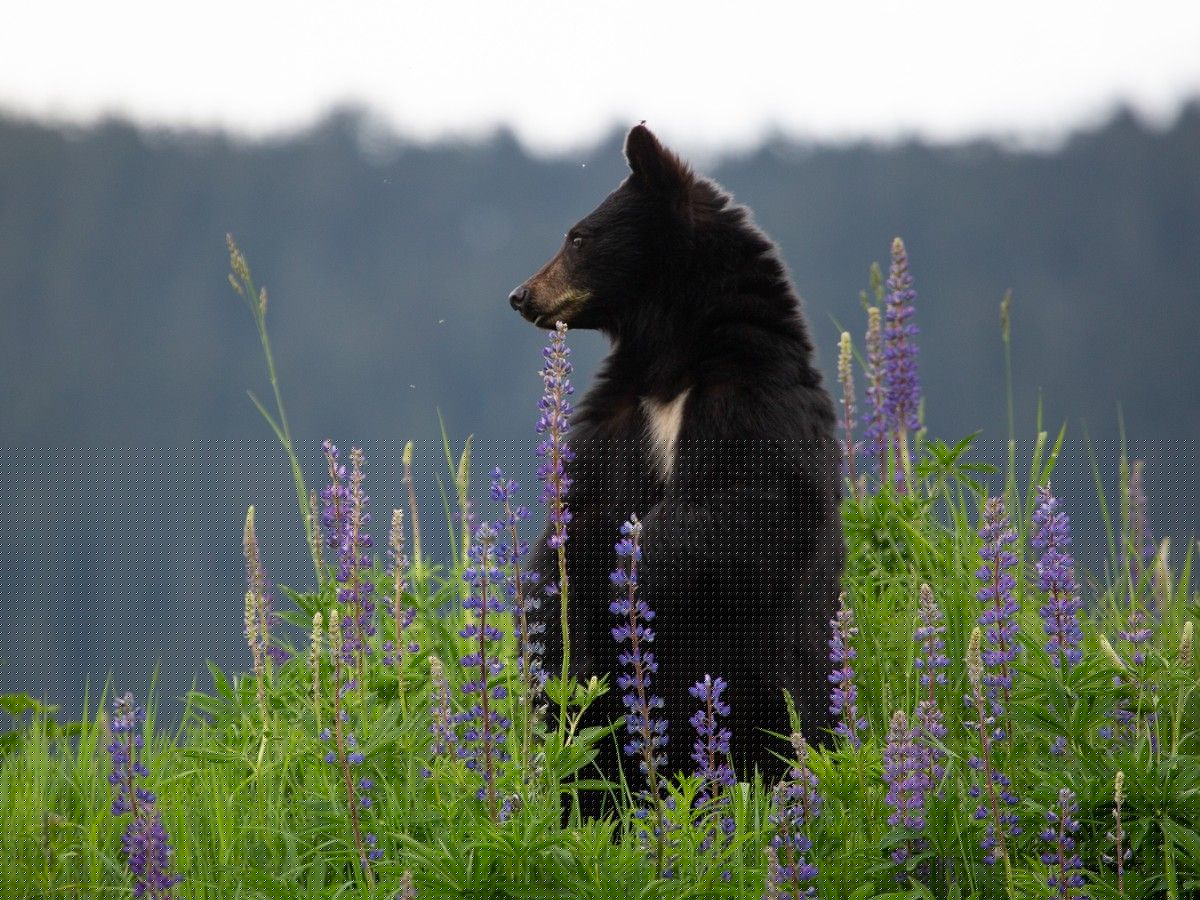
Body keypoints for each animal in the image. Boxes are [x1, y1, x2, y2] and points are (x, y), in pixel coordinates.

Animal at [508, 124, 844, 812]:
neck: (671, 356)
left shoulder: (753, 401)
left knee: (776, 726)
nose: (522, 295)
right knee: (589, 742)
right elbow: (577, 510)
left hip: (766, 671)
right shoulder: (619, 418)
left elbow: (746, 505)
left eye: (577, 236)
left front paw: (629, 567)